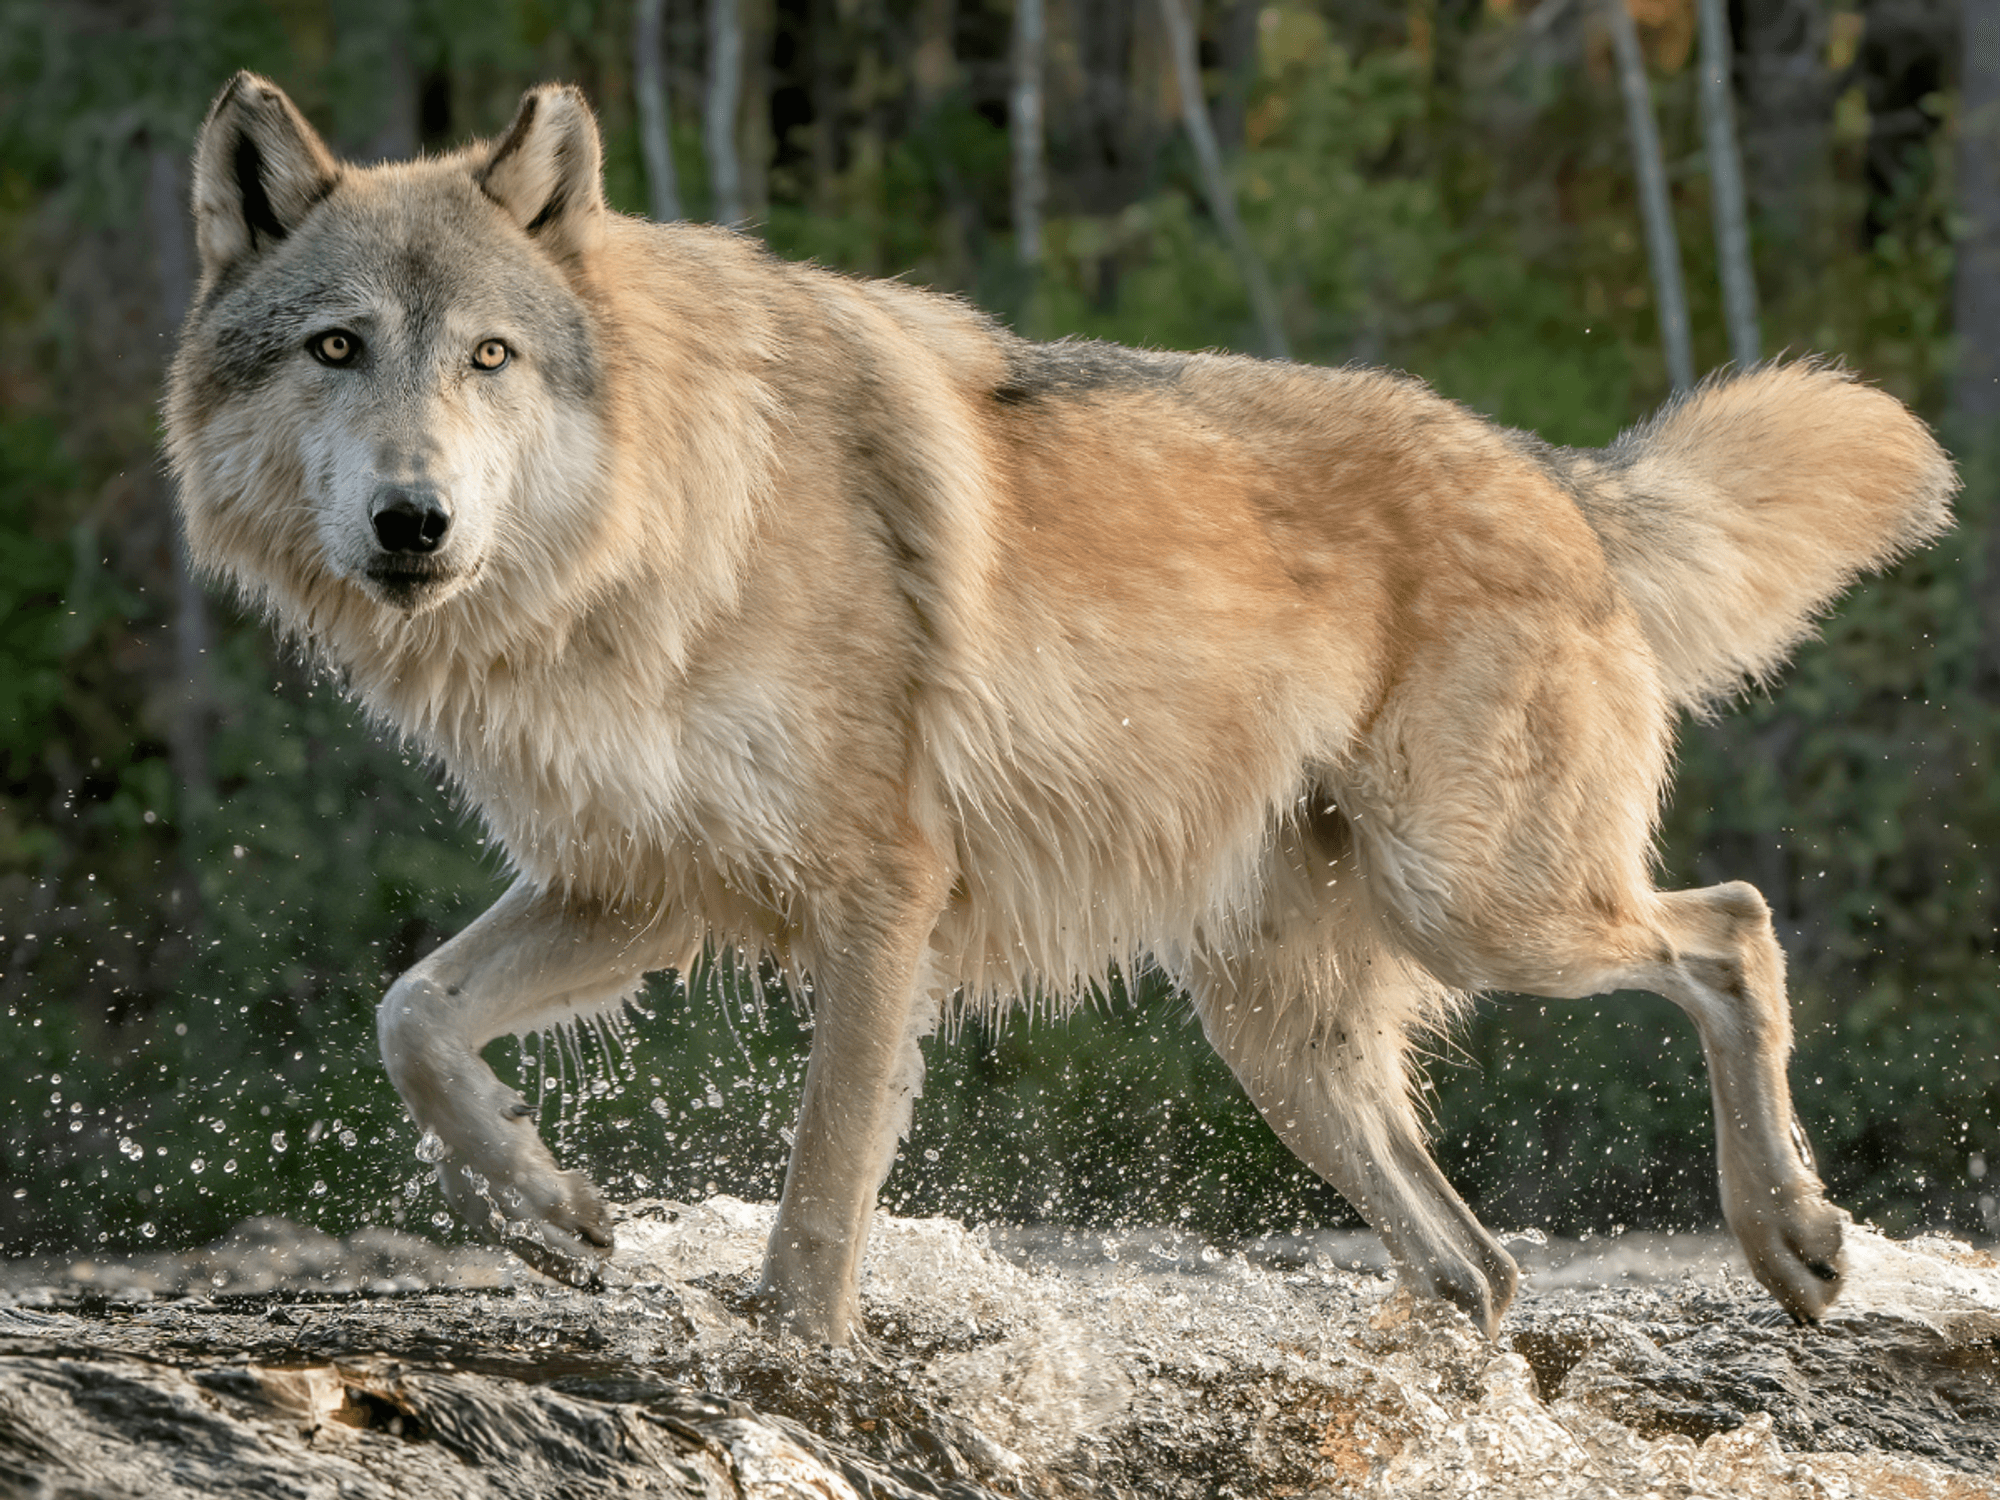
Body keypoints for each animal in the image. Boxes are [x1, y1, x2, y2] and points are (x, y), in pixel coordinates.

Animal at [167, 73, 1954, 1345]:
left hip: (1483, 907)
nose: (413, 523)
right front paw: (547, 1207)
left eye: (488, 357)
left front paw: (795, 1361)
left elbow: (821, 1198)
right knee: (1483, 1265)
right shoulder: (639, 889)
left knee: (1730, 928)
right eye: (338, 348)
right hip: (1283, 1035)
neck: (651, 540)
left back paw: (1794, 1241)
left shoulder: (878, 901)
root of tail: (1557, 473)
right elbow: (411, 1016)